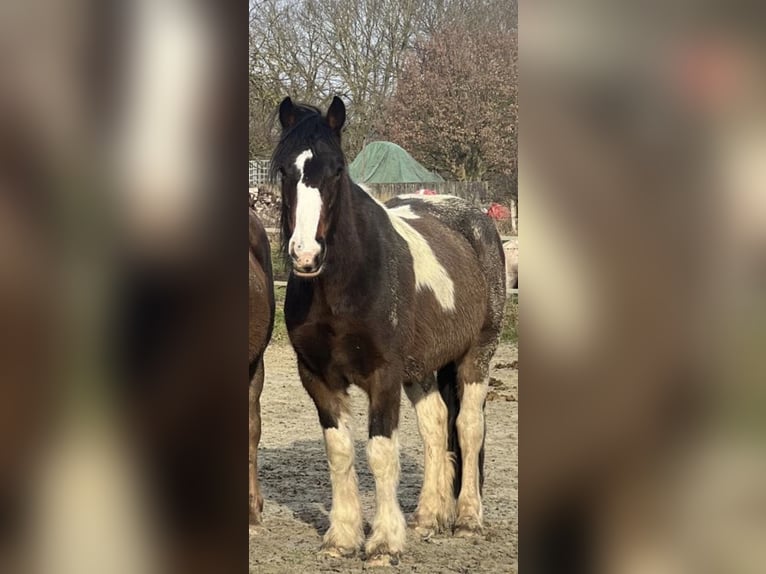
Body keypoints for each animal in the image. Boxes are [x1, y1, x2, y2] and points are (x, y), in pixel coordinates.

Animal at [271, 96, 506, 565]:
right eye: (286, 170)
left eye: (337, 169)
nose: (305, 255)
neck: (345, 286)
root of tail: (478, 221)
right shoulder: (318, 378)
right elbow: (339, 451)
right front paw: (342, 538)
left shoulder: (383, 376)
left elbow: (380, 452)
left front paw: (382, 543)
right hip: (419, 369)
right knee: (436, 423)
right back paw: (428, 518)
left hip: (477, 355)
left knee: (468, 427)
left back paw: (468, 519)